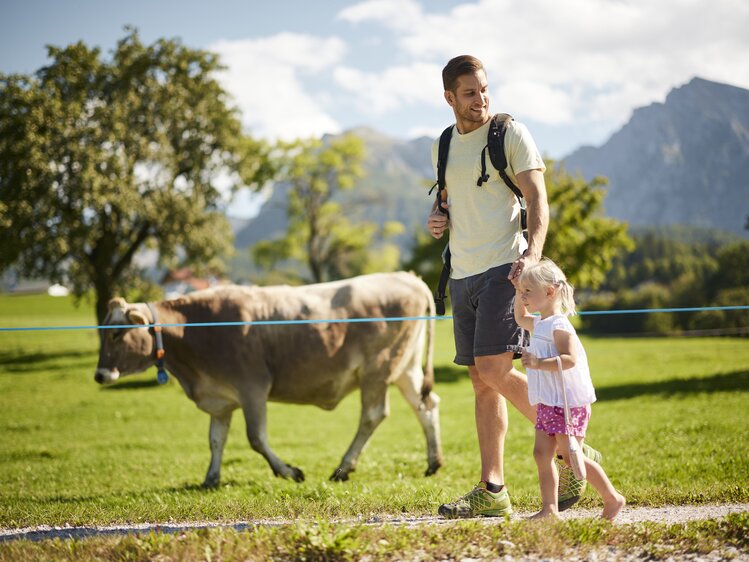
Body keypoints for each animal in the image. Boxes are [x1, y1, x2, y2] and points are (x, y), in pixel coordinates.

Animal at [95, 270, 442, 484]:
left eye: (116, 333)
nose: (100, 374)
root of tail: (405, 277)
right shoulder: (220, 398)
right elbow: (216, 439)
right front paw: (210, 478)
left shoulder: (252, 388)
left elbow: (256, 438)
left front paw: (288, 471)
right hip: (406, 368)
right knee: (426, 405)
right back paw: (433, 462)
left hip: (377, 369)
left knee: (373, 414)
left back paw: (343, 467)